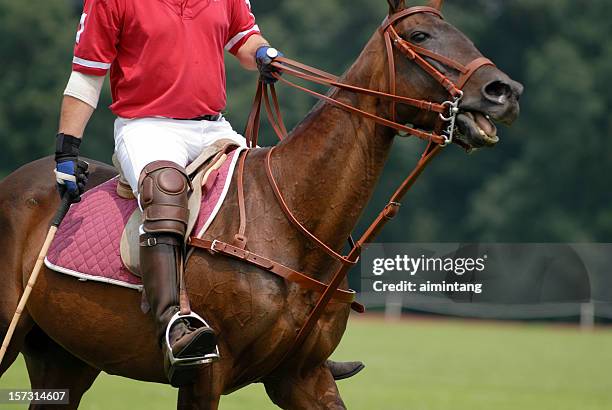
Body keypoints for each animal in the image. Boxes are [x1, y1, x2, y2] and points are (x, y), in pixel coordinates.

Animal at [1, 1, 520, 408]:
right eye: (419, 35)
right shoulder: (205, 373)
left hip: (64, 358)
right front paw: (69, 166)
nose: (505, 91)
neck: (294, 215)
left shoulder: (302, 375)